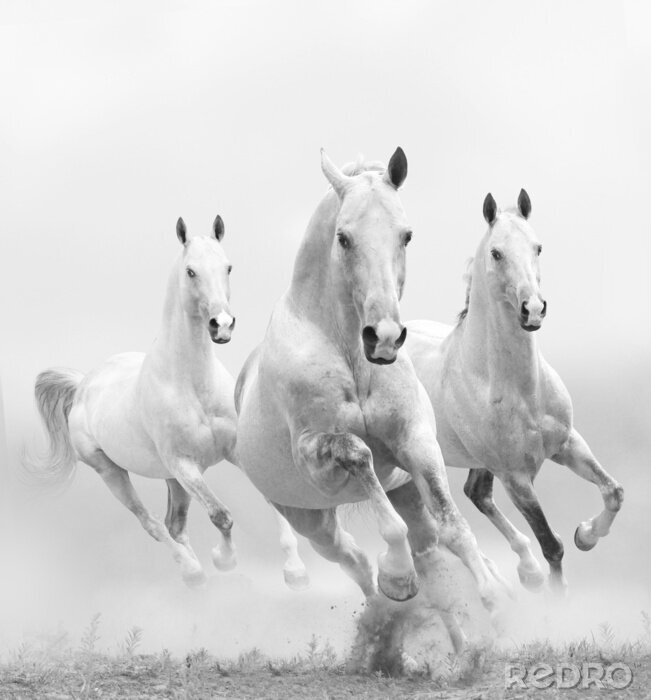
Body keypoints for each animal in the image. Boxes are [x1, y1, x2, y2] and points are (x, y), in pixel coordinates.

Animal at [30, 215, 308, 589]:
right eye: (190, 271)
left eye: (228, 267)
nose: (222, 325)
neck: (193, 386)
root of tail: (84, 384)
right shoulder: (184, 464)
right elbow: (221, 515)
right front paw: (225, 559)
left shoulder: (233, 451)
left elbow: (271, 500)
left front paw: (295, 570)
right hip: (113, 472)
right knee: (151, 523)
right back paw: (192, 571)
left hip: (171, 479)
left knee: (173, 524)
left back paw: (195, 571)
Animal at [234, 148, 508, 655]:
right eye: (343, 238)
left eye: (406, 234)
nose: (383, 336)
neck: (352, 359)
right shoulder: (316, 454)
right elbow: (360, 457)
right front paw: (398, 577)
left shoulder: (417, 443)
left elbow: (454, 528)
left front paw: (495, 603)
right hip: (310, 519)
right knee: (355, 561)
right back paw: (389, 615)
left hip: (406, 492)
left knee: (428, 554)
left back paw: (462, 647)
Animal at [405, 190, 624, 593]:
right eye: (496, 253)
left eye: (538, 247)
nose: (533, 310)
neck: (520, 392)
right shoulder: (516, 478)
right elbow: (551, 545)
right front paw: (557, 592)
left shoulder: (567, 444)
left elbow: (613, 492)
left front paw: (586, 535)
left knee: (476, 493)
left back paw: (527, 572)